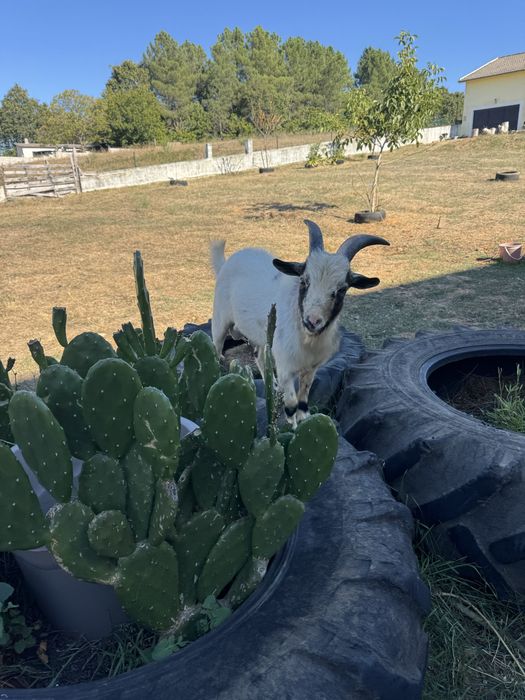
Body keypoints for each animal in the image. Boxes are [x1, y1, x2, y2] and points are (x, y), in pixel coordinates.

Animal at [210, 220, 389, 426]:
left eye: (342, 289)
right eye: (304, 281)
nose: (313, 321)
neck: (306, 337)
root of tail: (227, 262)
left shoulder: (312, 368)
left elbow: (303, 401)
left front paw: (305, 420)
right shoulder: (286, 367)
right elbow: (291, 404)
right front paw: (292, 426)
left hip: (262, 337)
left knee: (260, 357)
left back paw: (274, 386)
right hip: (220, 321)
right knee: (217, 347)